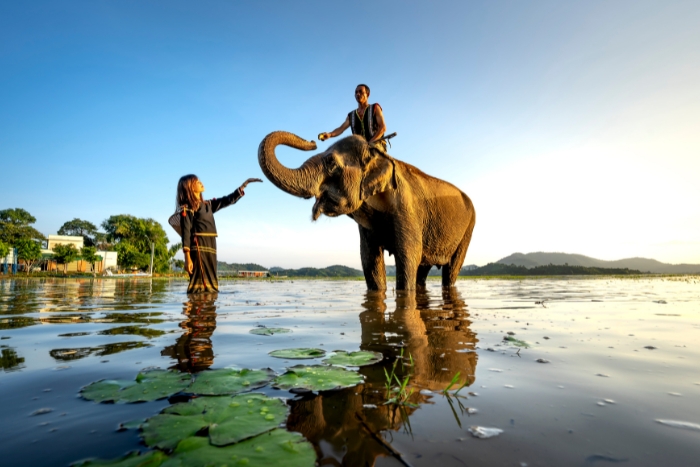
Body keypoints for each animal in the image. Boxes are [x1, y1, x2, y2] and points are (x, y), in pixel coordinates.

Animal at [258, 132, 476, 290]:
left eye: (331, 163)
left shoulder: (407, 210)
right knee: (423, 269)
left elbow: (408, 257)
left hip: (469, 228)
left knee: (451, 268)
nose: (314, 141)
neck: (379, 157)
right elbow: (369, 259)